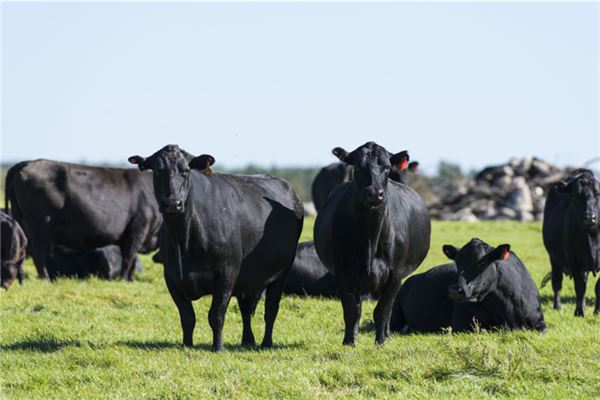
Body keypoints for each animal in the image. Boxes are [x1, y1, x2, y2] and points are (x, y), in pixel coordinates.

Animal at [4, 159, 163, 282]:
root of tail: (29, 162)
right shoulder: (138, 230)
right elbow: (129, 258)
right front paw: (124, 280)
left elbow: (133, 259)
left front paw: (131, 280)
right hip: (41, 224)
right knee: (38, 252)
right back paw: (45, 279)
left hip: (22, 221)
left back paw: (21, 278)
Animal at [128, 145, 302, 350]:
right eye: (156, 171)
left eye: (186, 170)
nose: (172, 203)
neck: (184, 241)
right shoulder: (171, 277)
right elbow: (187, 317)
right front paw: (187, 345)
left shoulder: (227, 273)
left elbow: (216, 315)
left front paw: (218, 347)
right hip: (248, 278)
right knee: (245, 309)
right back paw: (247, 341)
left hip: (281, 273)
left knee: (271, 309)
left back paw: (266, 343)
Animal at [314, 142, 432, 346]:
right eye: (359, 166)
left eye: (387, 167)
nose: (374, 193)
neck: (370, 238)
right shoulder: (342, 273)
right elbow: (351, 311)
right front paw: (349, 342)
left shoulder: (395, 275)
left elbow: (382, 310)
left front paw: (380, 342)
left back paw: (387, 335)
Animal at [540, 168, 596, 316]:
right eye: (577, 196)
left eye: (598, 194)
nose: (590, 217)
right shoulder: (574, 259)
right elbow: (580, 287)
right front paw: (579, 313)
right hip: (554, 259)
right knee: (557, 282)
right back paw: (557, 306)